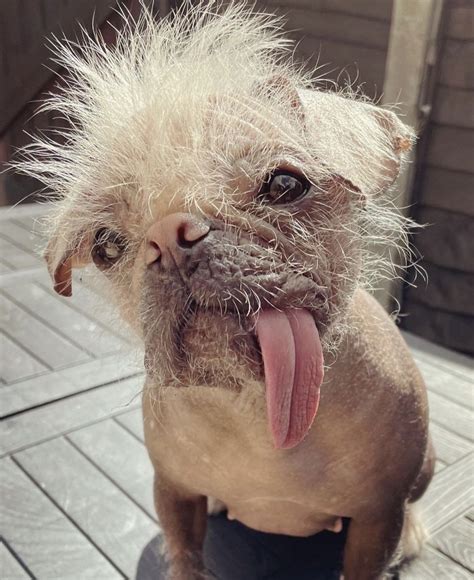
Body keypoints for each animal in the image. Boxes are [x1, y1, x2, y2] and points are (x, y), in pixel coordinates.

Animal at [17, 2, 434, 576]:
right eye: (105, 246)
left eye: (285, 185)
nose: (169, 238)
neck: (253, 411)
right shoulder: (172, 493)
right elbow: (185, 556)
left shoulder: (377, 519)